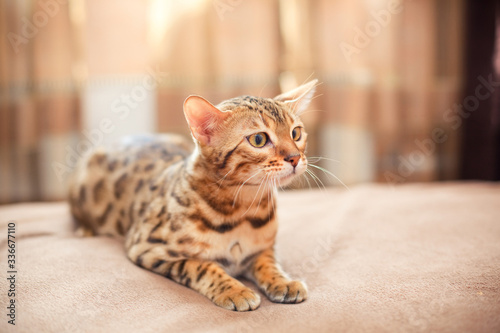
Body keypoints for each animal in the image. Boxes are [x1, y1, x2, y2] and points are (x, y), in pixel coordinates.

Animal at [67, 79, 316, 310]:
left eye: (296, 133)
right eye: (259, 139)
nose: (295, 157)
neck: (243, 210)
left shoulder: (264, 248)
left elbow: (269, 264)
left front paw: (283, 282)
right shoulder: (147, 248)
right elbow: (201, 266)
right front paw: (235, 290)